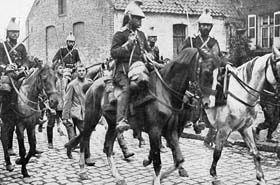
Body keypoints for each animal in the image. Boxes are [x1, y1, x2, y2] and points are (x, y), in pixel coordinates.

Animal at [65, 48, 223, 185]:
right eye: (207, 72)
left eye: (218, 74)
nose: (209, 102)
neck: (164, 92)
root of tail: (91, 84)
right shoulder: (155, 131)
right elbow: (158, 161)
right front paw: (156, 177)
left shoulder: (170, 130)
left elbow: (179, 159)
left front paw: (161, 175)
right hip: (91, 118)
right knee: (84, 139)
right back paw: (82, 170)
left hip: (113, 124)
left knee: (107, 147)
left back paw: (117, 177)